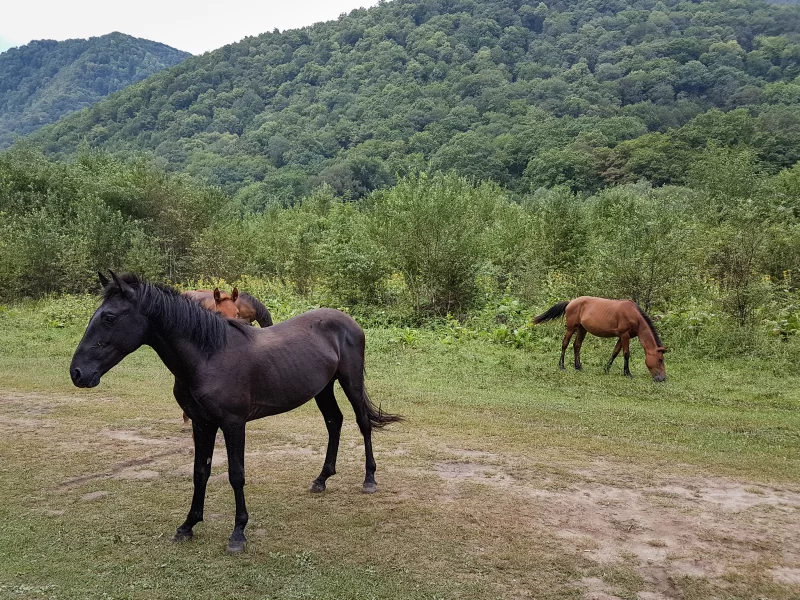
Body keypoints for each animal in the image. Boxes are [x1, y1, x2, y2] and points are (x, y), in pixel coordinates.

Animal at [70, 272, 401, 553]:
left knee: (362, 423)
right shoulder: (202, 424)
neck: (209, 356)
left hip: (351, 381)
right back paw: (321, 479)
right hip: (323, 388)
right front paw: (188, 525)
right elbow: (200, 472)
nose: (77, 373)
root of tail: (347, 320)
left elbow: (236, 474)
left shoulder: (233, 424)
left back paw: (369, 479)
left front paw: (238, 533)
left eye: (109, 317)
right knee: (335, 422)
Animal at [533, 296, 667, 382]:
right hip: (571, 329)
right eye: (660, 360)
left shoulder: (622, 336)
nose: (663, 379)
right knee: (565, 344)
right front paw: (627, 373)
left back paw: (578, 366)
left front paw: (606, 368)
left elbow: (615, 352)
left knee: (577, 345)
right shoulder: (624, 335)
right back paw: (562, 366)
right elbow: (626, 354)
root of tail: (571, 302)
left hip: (582, 329)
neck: (634, 315)